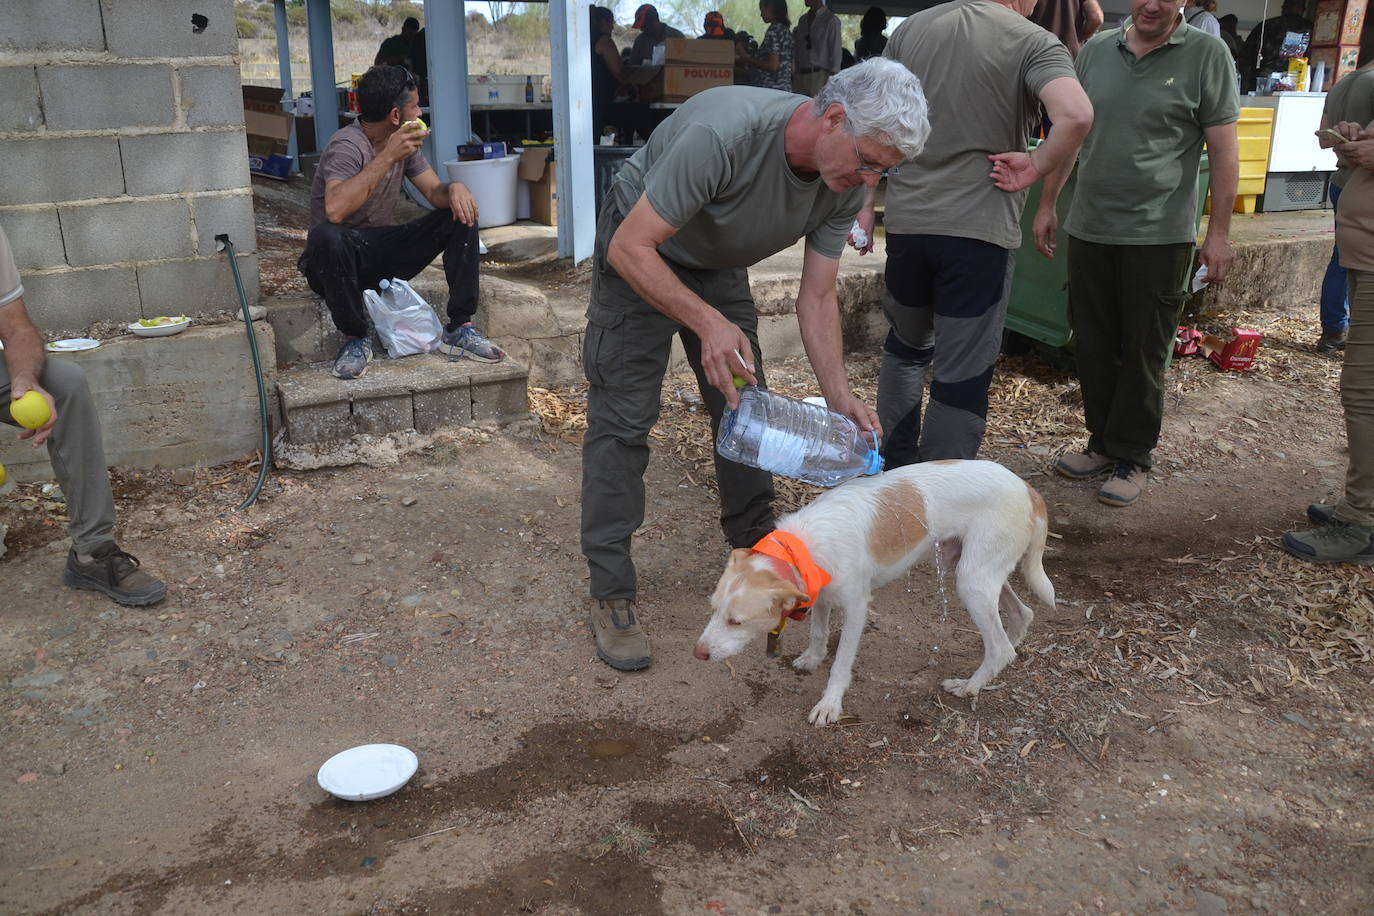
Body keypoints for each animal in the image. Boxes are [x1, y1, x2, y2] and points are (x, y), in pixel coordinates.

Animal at [692, 461, 1055, 725]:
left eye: (736, 621)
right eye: (713, 610)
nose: (698, 654)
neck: (803, 547)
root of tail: (1029, 490)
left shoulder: (856, 608)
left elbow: (841, 663)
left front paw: (830, 704)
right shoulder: (820, 592)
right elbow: (818, 631)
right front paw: (813, 657)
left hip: (972, 582)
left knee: (999, 648)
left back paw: (970, 685)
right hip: (974, 571)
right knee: (1022, 615)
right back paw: (1009, 649)